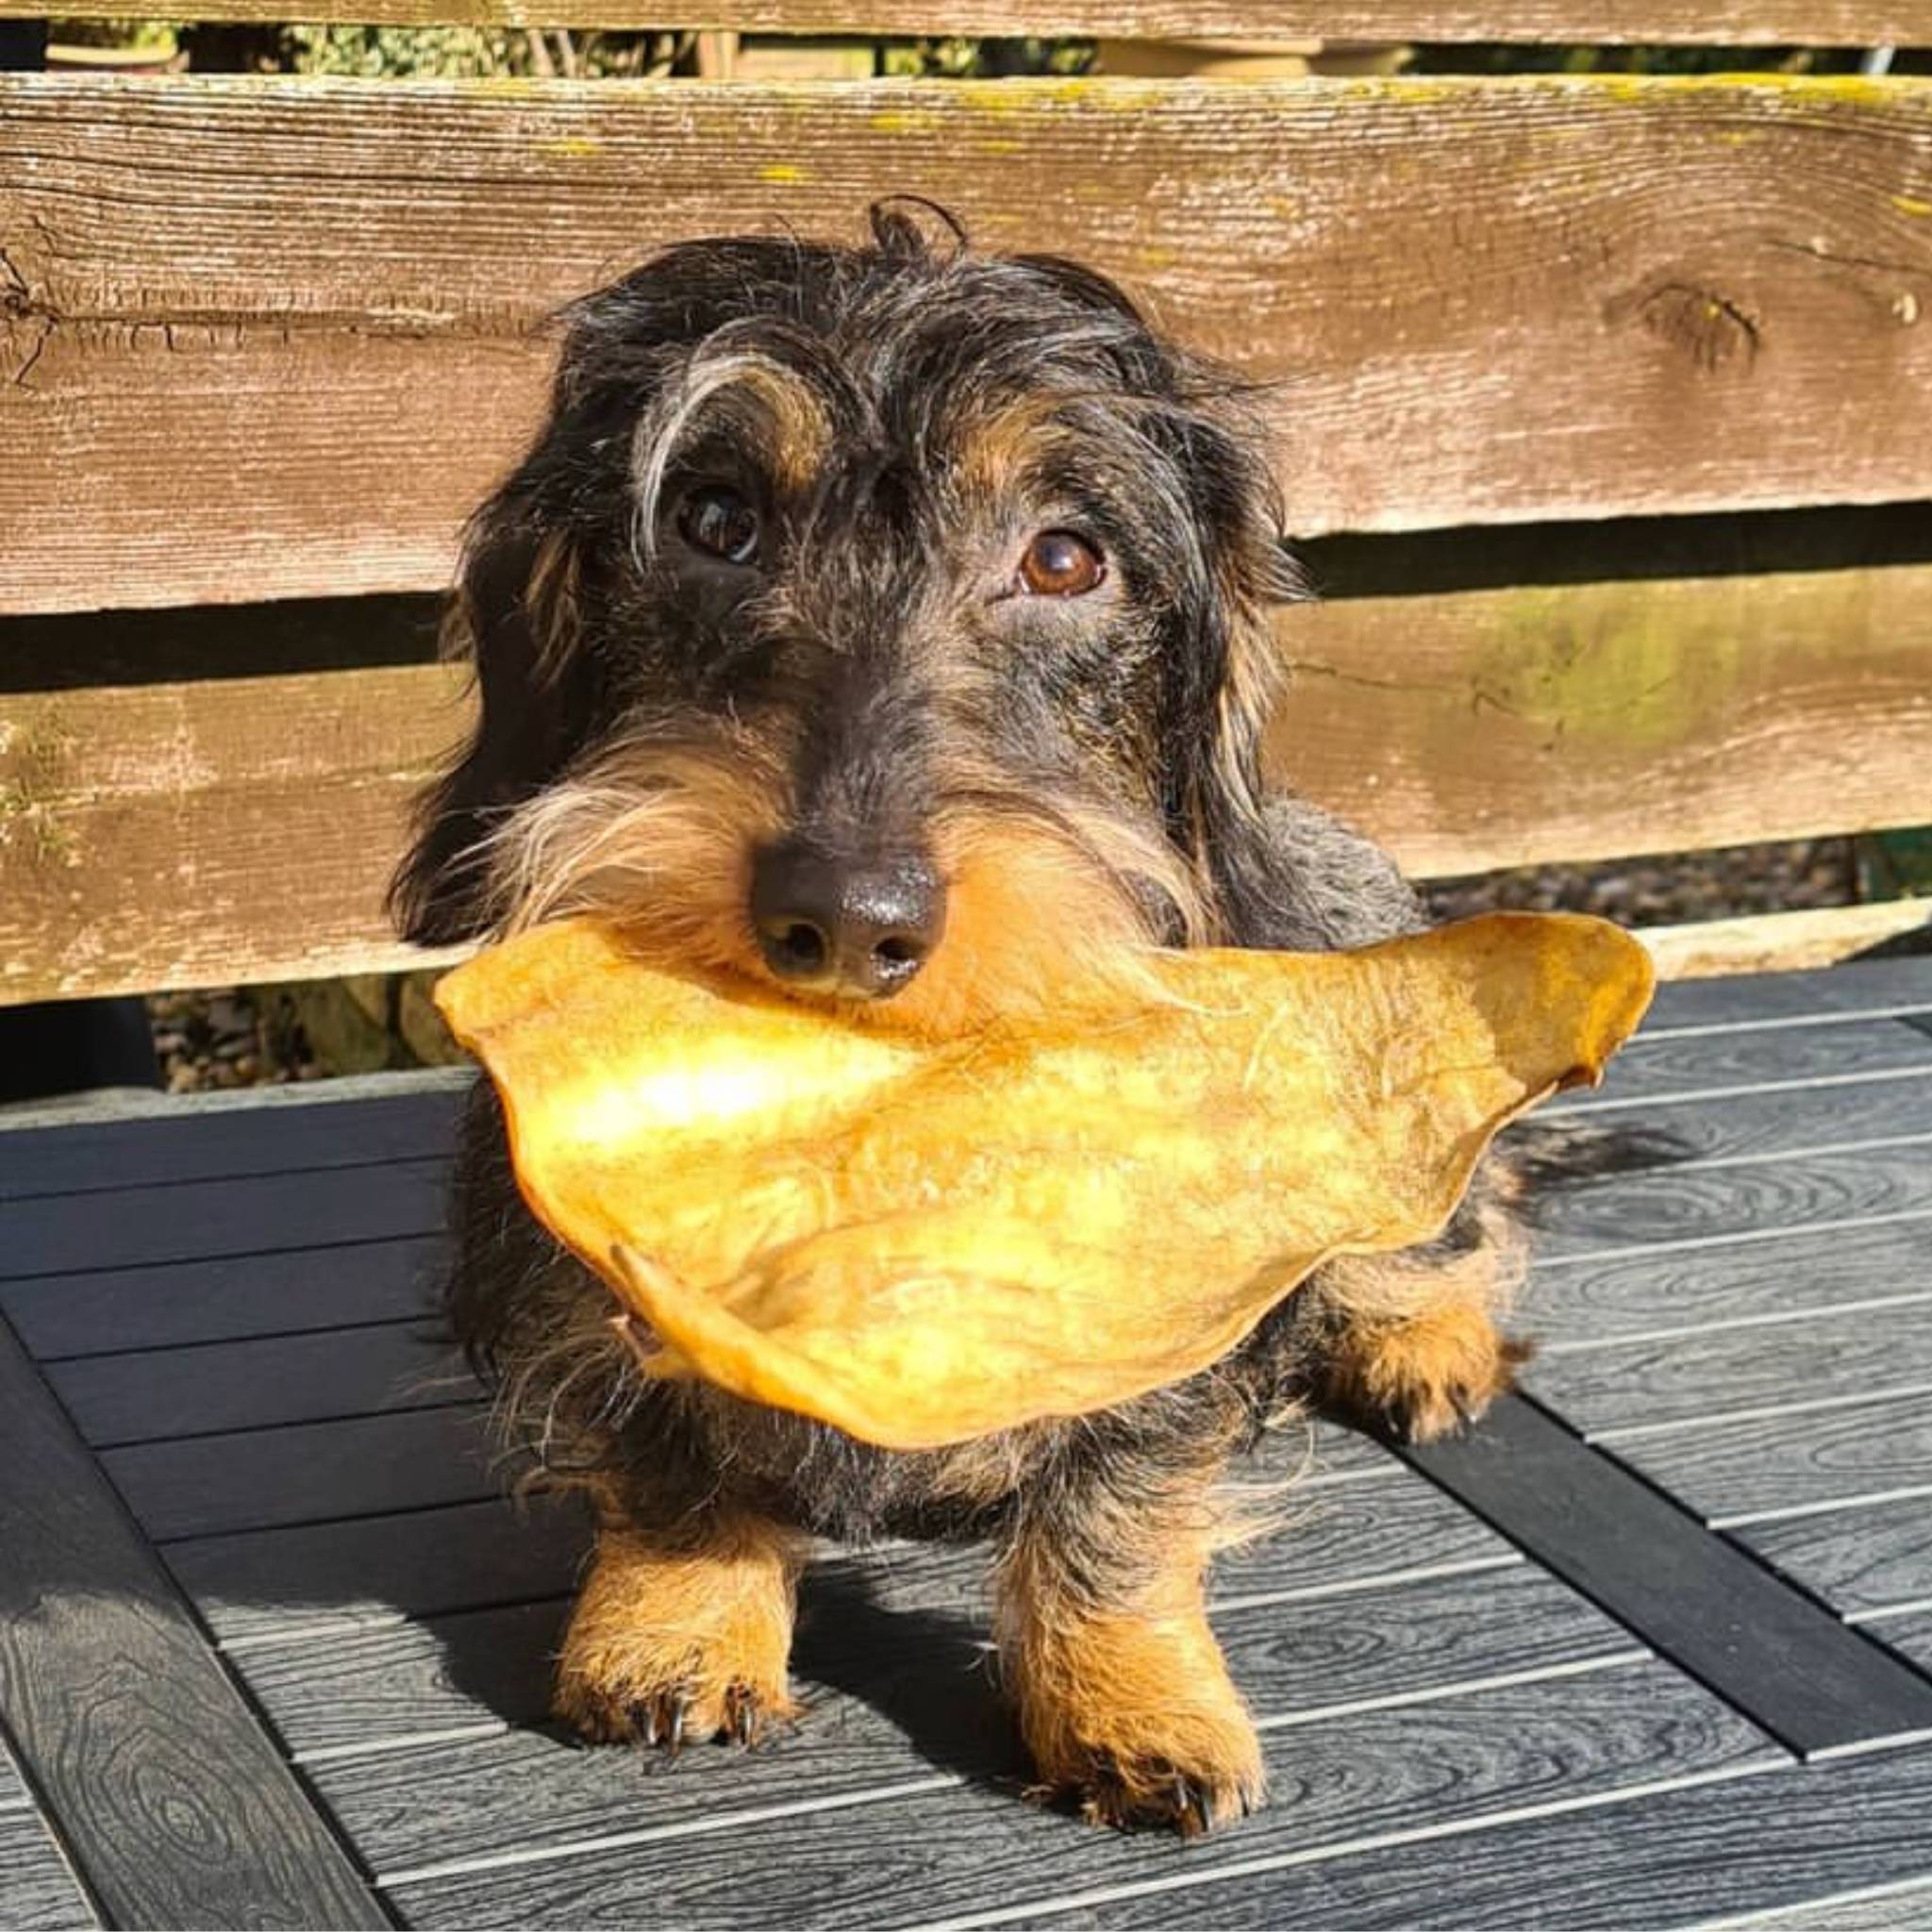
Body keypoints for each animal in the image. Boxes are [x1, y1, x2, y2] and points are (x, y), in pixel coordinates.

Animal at [391, 204, 1530, 1831]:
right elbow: (667, 1453)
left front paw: (1133, 1697)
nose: (844, 914)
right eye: (715, 520)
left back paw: (1424, 1342)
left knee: (1447, 1227)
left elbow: (1118, 1508)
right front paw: (677, 1623)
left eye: (1065, 556)